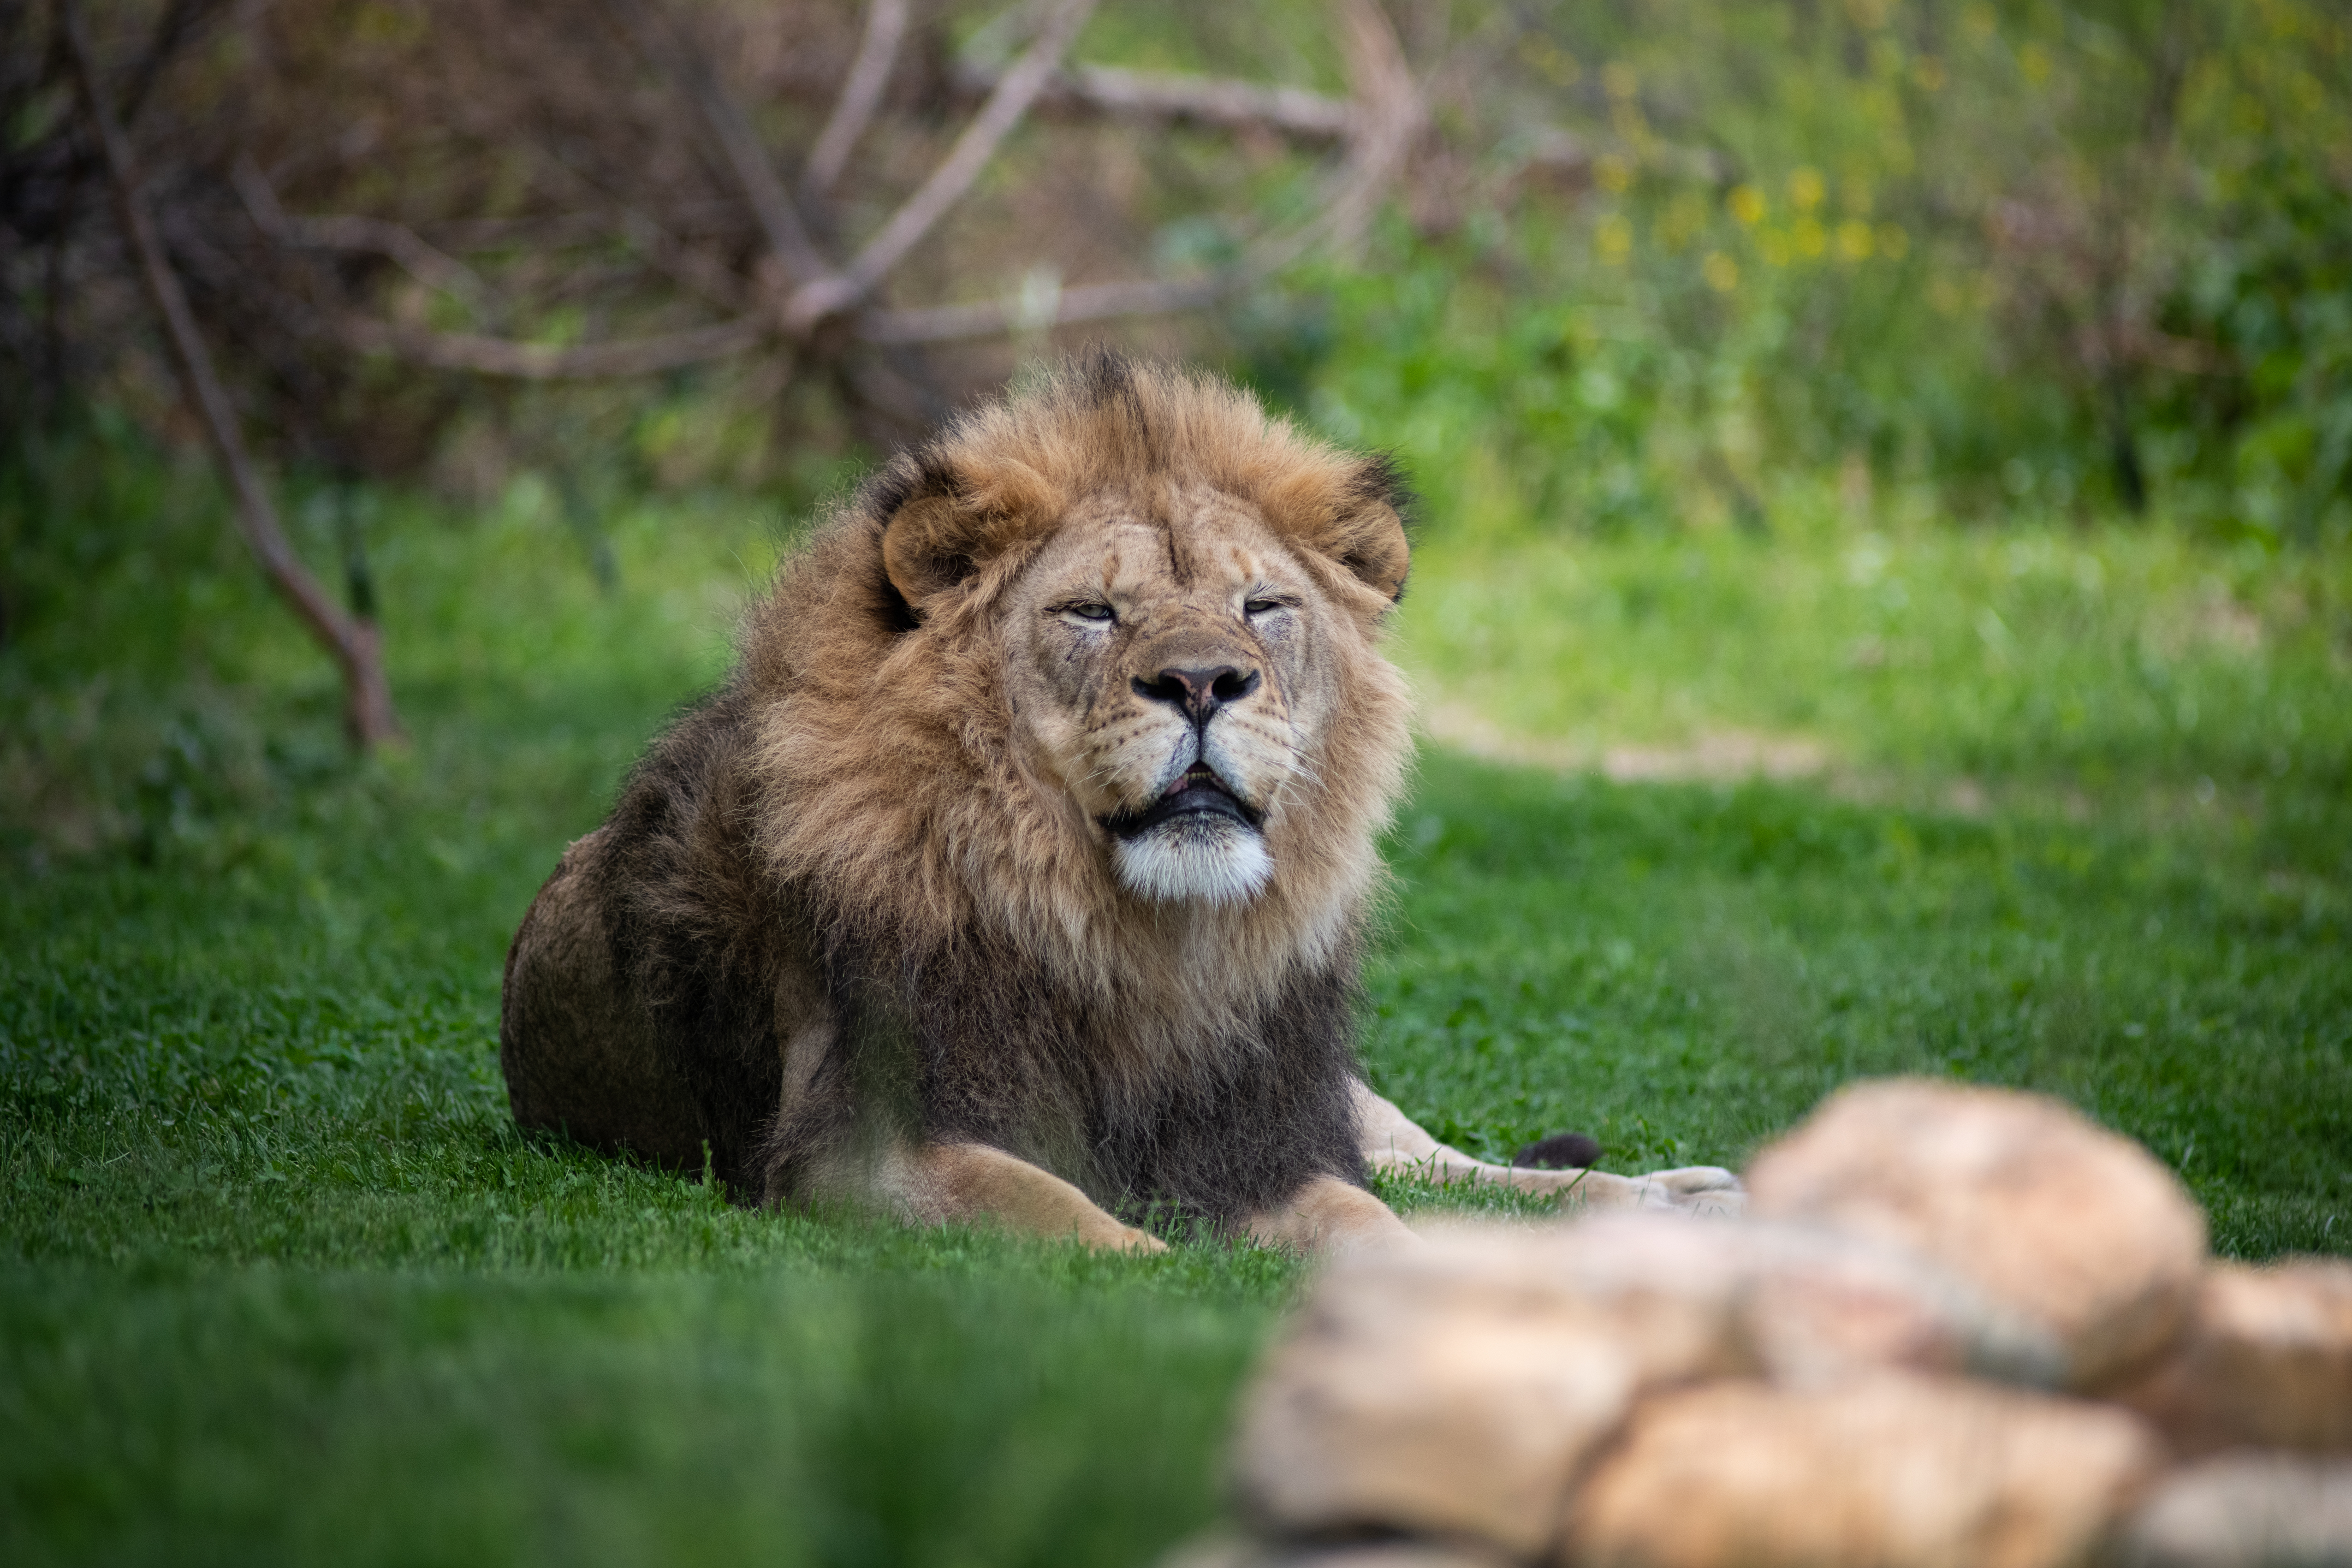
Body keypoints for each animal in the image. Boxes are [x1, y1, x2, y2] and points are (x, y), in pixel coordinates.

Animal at [499, 355, 1740, 1253]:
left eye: (1262, 605)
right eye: (1092, 612)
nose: (1201, 681)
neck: (1137, 941)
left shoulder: (1264, 1134)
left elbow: (1376, 1218)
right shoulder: (860, 1148)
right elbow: (1086, 1231)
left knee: (1449, 1162)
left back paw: (1686, 1193)